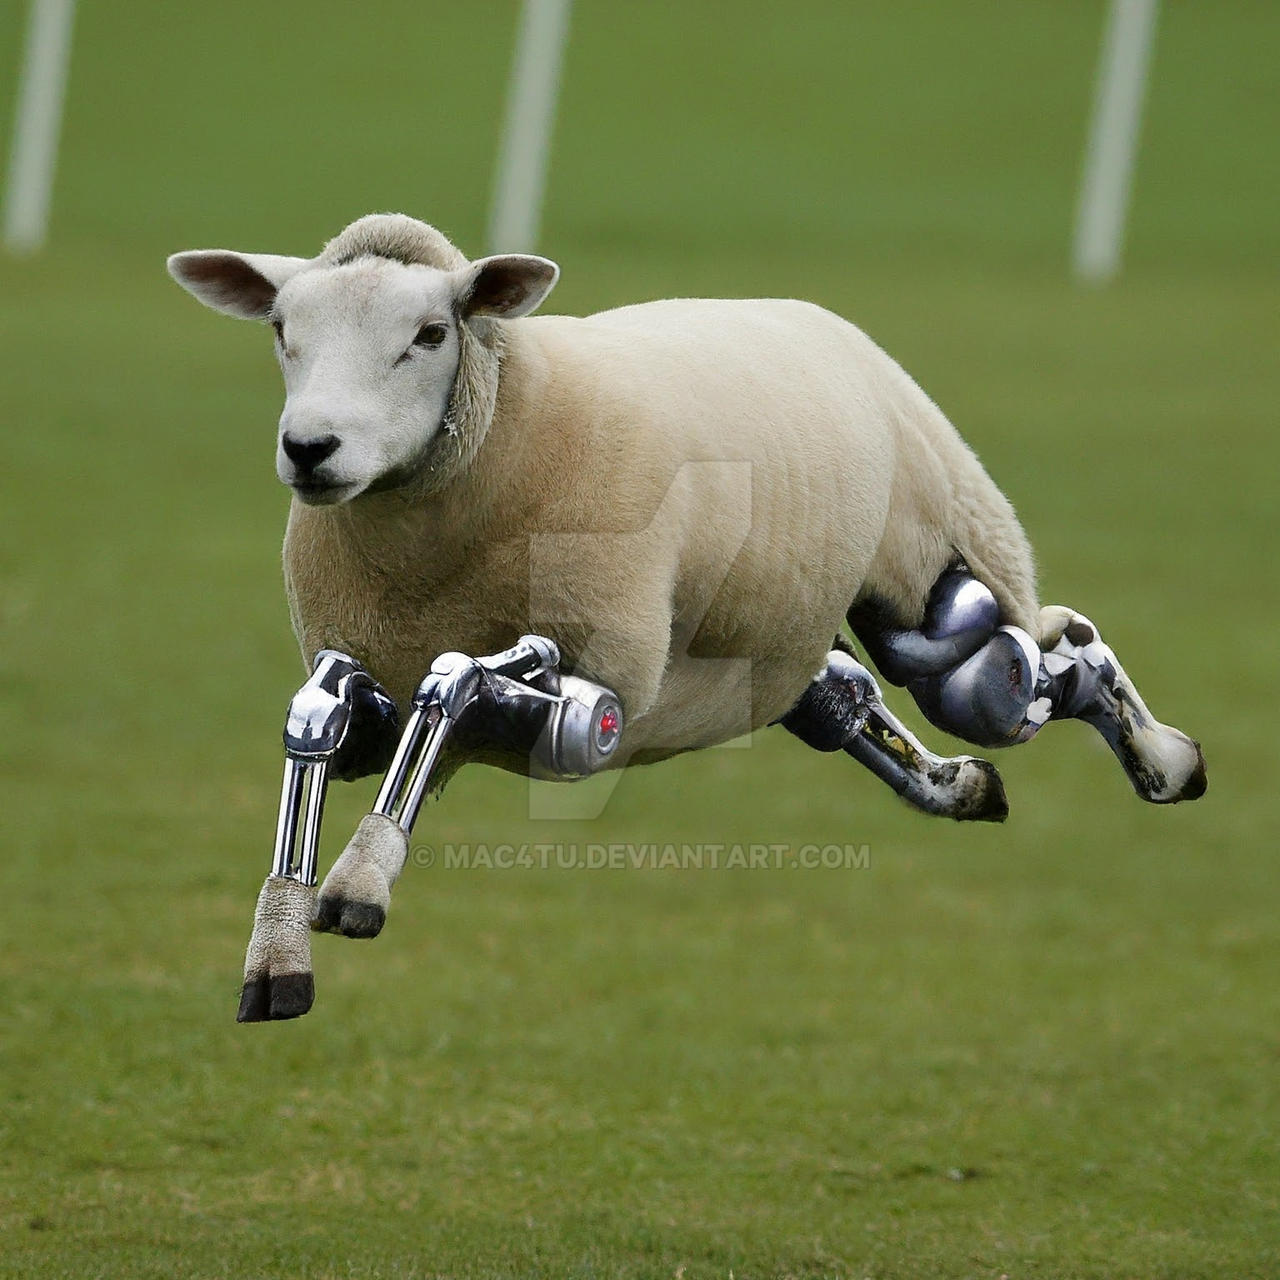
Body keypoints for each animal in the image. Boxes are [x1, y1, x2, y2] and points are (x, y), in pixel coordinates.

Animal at [167, 213, 1205, 1020]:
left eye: (428, 334)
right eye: (282, 330)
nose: (311, 450)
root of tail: (817, 319)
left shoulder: (599, 690)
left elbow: (453, 684)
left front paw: (358, 885)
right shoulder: (372, 684)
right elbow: (325, 712)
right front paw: (278, 952)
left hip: (943, 570)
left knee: (1044, 657)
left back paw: (1167, 763)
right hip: (794, 642)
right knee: (848, 696)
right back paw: (962, 786)